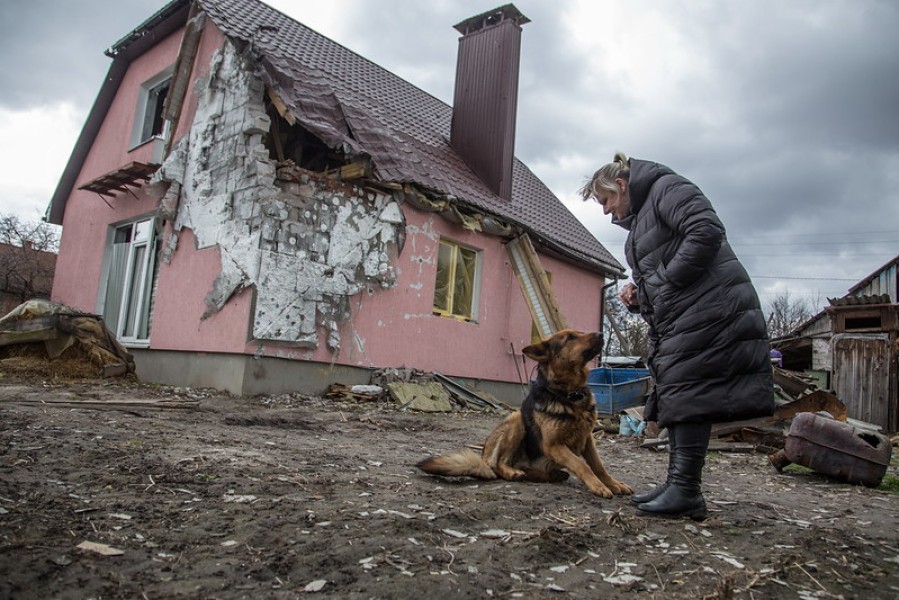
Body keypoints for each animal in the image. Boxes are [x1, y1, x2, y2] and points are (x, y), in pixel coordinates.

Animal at [416, 328, 632, 496]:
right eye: (570, 338)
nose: (601, 333)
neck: (569, 393)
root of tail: (484, 458)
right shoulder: (554, 445)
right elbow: (582, 465)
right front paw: (598, 486)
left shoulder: (587, 440)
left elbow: (599, 466)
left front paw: (613, 484)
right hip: (516, 419)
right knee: (499, 464)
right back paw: (512, 472)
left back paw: (550, 475)